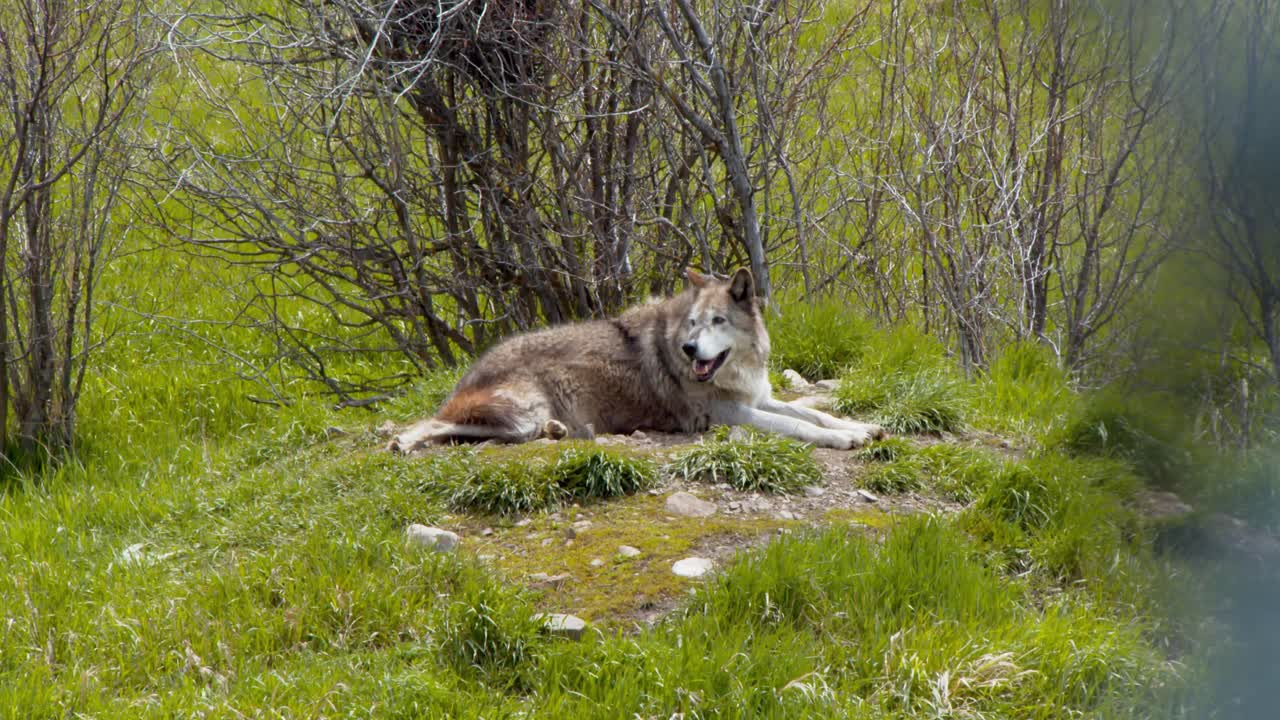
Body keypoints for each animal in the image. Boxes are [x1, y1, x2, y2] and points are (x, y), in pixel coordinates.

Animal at [387, 268, 885, 452]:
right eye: (692, 324)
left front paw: (861, 427)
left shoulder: (757, 398)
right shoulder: (730, 414)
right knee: (434, 425)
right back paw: (403, 443)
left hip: (521, 418)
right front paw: (844, 439)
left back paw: (558, 431)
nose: (690, 350)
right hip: (520, 409)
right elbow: (797, 425)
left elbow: (812, 412)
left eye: (717, 322)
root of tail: (467, 372)